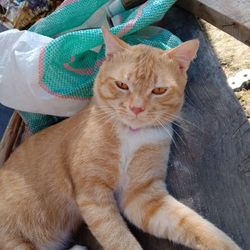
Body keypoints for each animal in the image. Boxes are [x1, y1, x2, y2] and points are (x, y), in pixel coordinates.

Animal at [0, 27, 242, 250]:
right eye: (122, 85)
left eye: (159, 90)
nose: (136, 108)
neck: (131, 135)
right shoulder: (93, 194)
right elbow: (119, 239)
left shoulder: (142, 197)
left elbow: (194, 224)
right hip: (14, 242)